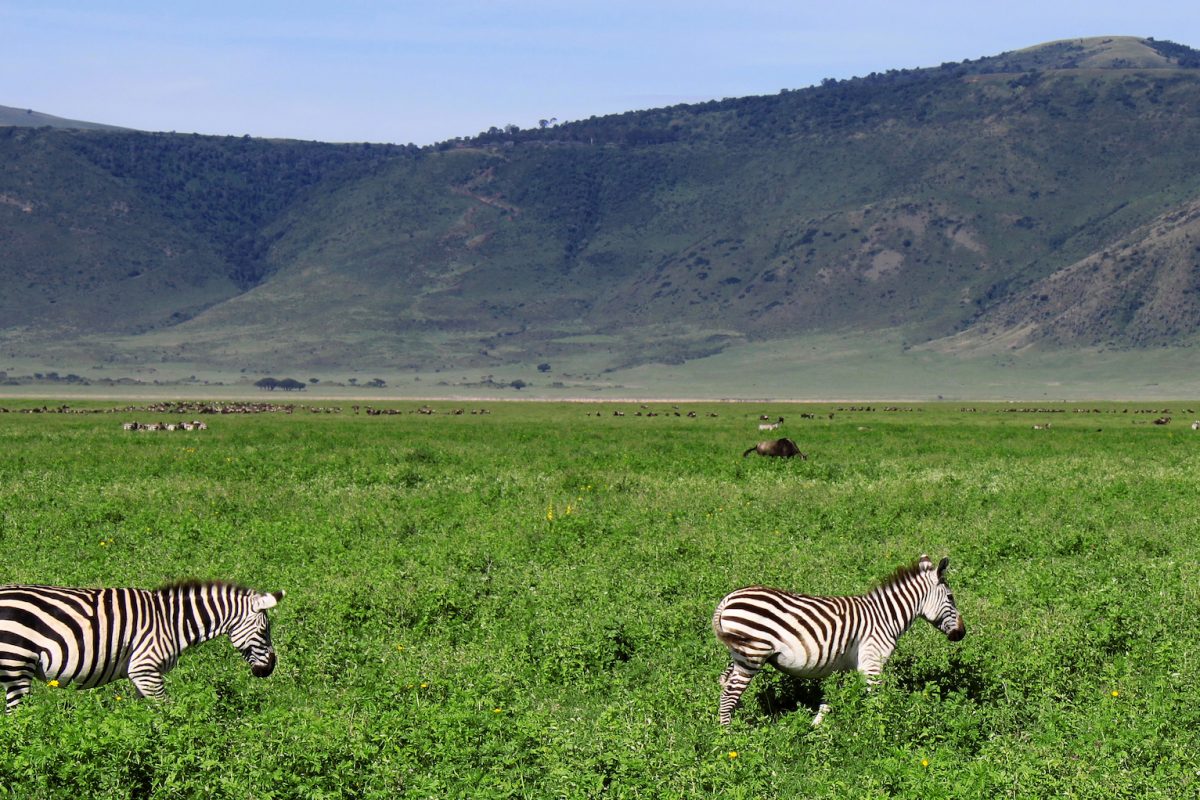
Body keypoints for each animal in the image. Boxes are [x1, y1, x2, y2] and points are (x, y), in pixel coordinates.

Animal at [0, 580, 284, 712]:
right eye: (263, 631)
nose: (270, 668)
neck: (172, 621)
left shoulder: (140, 675)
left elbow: (142, 715)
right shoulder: (145, 669)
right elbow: (167, 711)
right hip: (16, 665)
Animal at [711, 554, 964, 726]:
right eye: (951, 598)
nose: (962, 633)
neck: (885, 616)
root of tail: (728, 599)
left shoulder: (844, 665)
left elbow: (830, 700)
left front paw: (816, 728)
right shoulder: (872, 662)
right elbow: (876, 700)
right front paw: (879, 730)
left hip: (741, 655)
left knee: (725, 682)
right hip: (752, 655)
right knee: (728, 695)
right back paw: (728, 737)